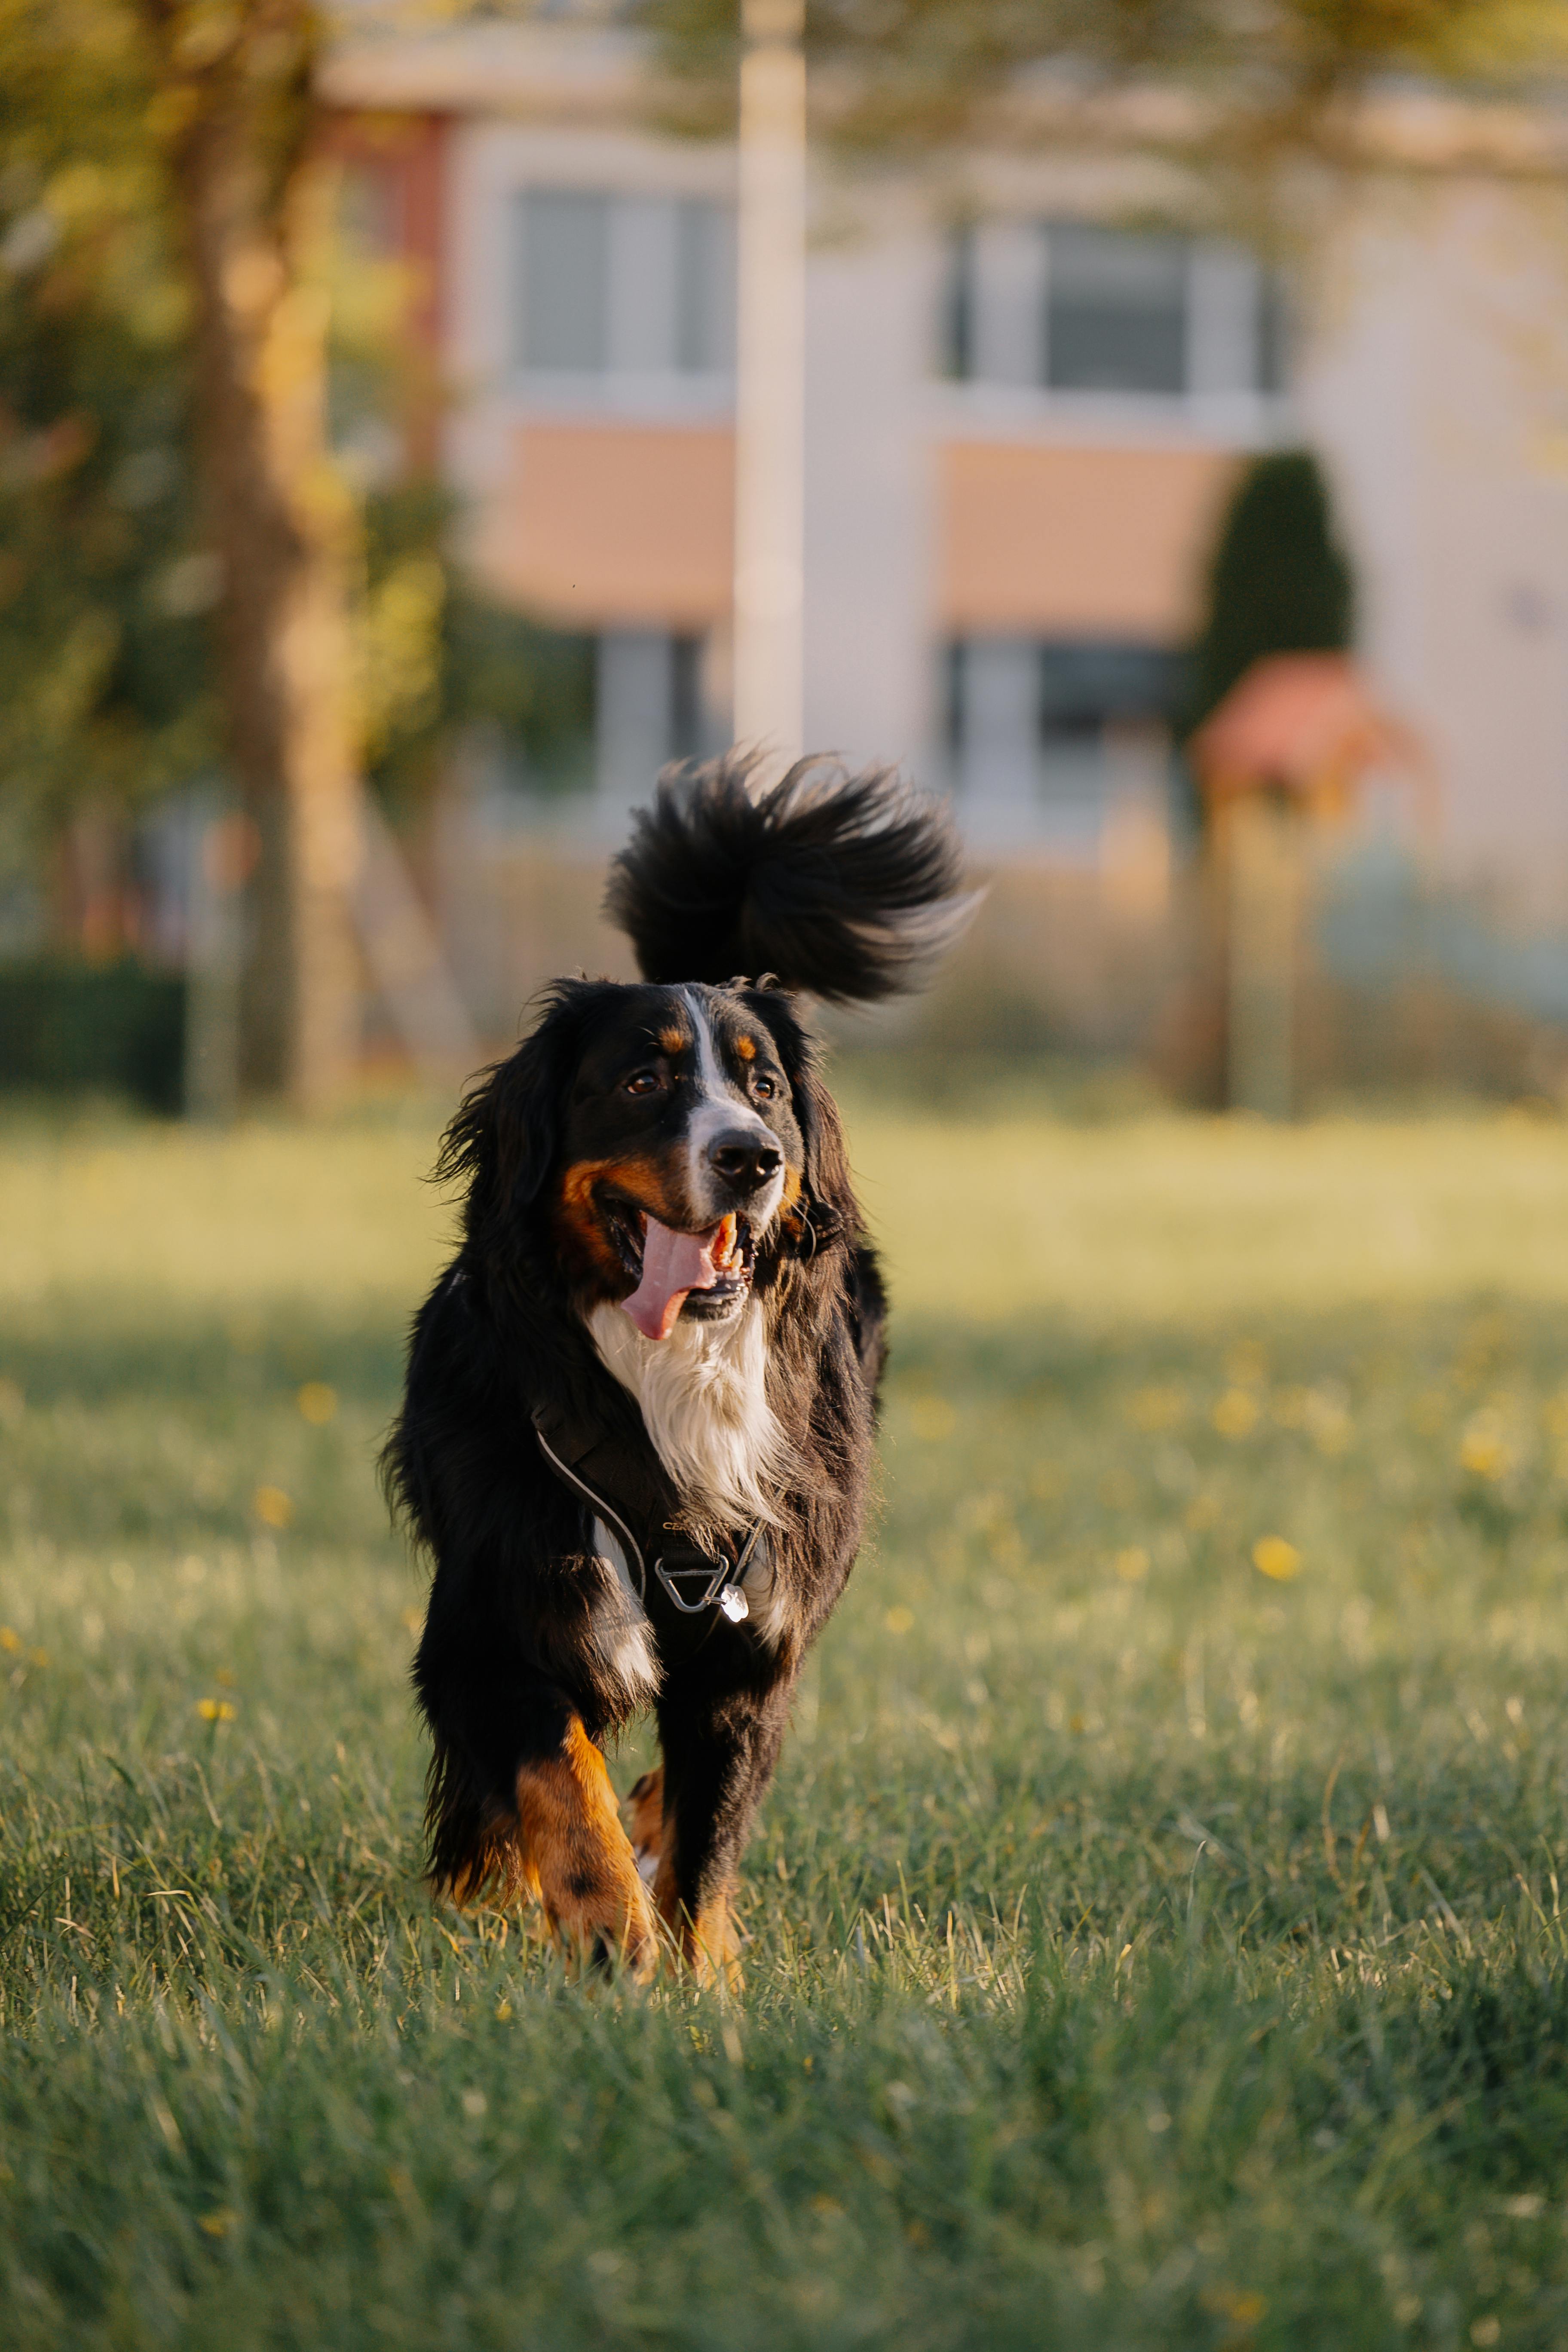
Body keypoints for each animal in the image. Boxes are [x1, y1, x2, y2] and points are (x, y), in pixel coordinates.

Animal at [385, 757, 968, 1985]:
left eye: (765, 1088)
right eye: (642, 1079)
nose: (753, 1157)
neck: (670, 1375)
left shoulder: (754, 1630)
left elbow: (709, 1827)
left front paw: (699, 1976)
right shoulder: (497, 1604)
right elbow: (559, 1768)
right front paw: (607, 1921)